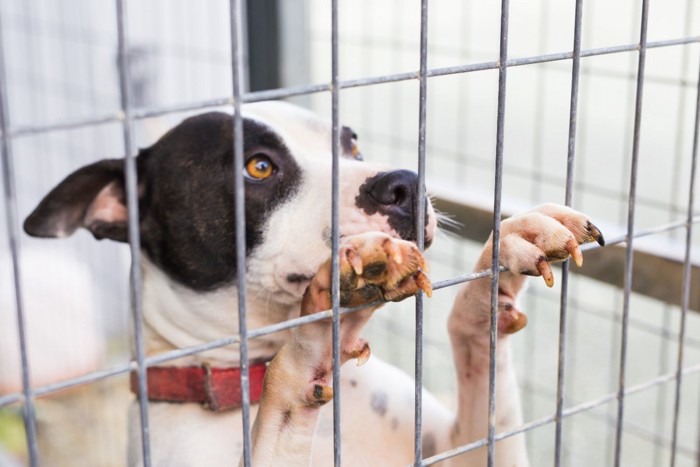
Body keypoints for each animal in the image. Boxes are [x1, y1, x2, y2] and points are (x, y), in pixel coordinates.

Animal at [21, 100, 600, 466]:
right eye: (258, 167)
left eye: (352, 144)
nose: (406, 183)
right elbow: (287, 399)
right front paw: (315, 338)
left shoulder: (473, 449)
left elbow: (479, 354)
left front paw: (505, 253)